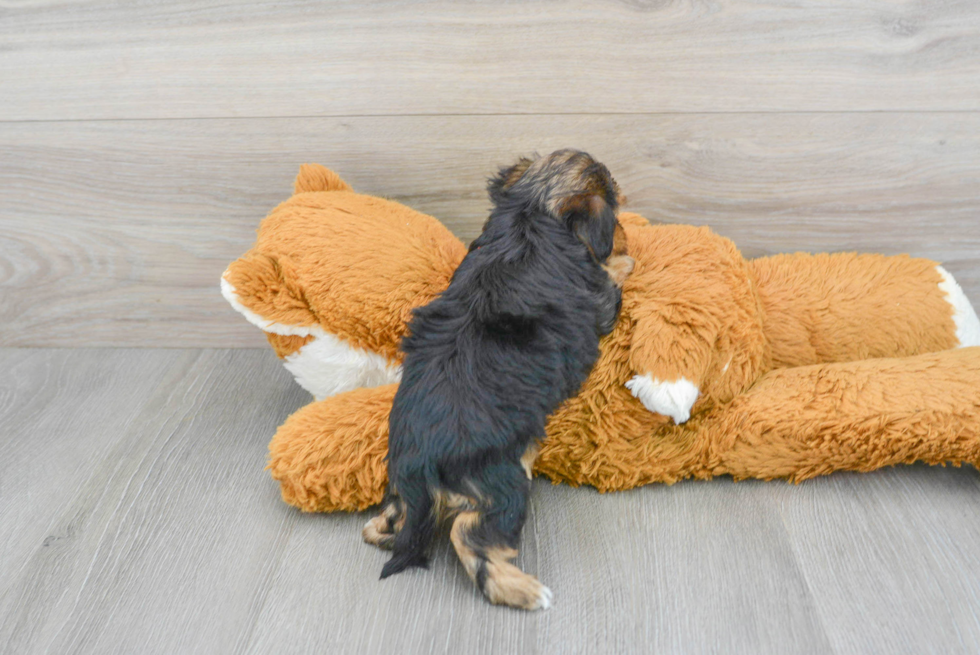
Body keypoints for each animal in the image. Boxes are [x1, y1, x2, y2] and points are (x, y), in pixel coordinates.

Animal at [364, 149, 632, 608]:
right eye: (615, 210)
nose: (627, 229)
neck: (531, 210)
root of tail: (419, 462)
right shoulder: (600, 299)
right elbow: (613, 274)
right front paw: (627, 257)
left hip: (404, 484)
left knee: (395, 520)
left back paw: (381, 530)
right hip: (501, 482)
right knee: (471, 535)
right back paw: (525, 590)